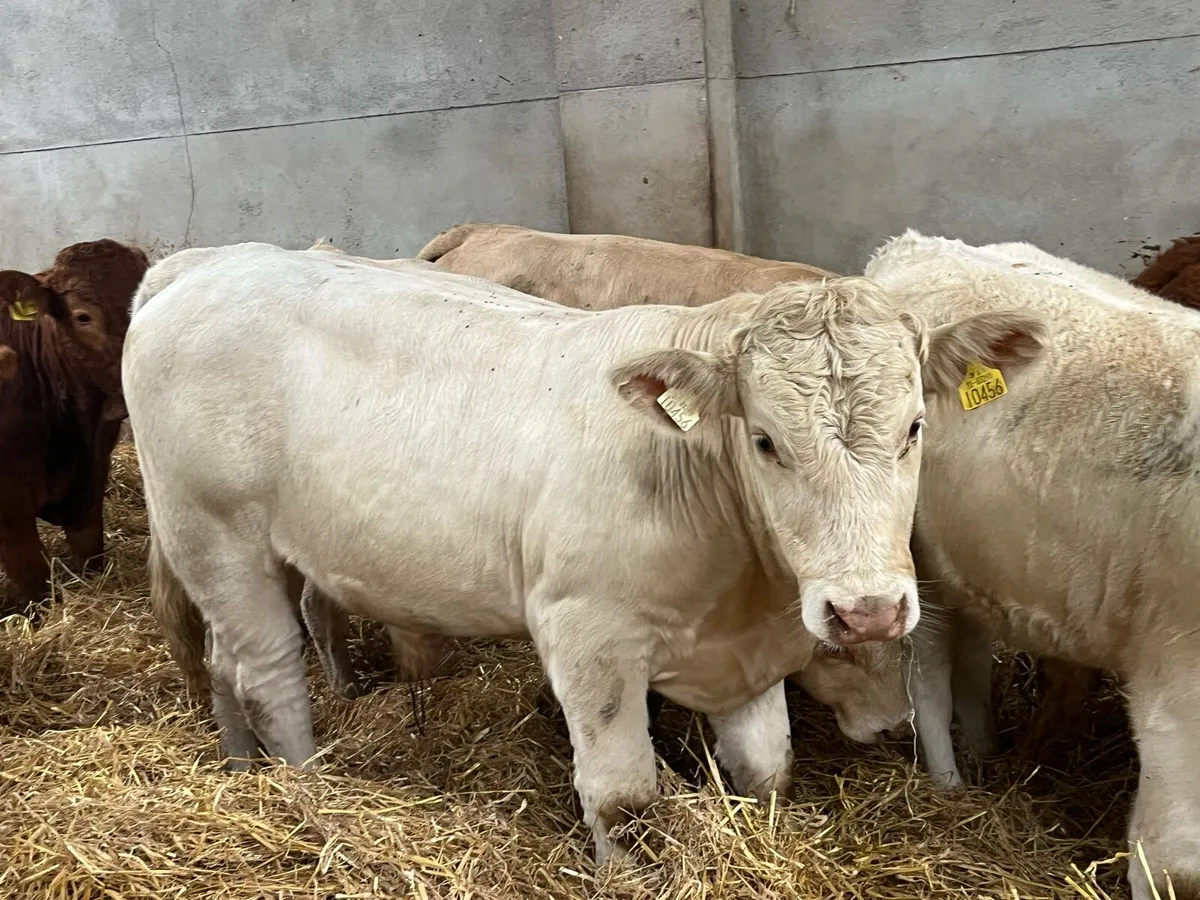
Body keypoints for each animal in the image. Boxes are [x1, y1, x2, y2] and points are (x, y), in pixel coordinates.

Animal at [124, 241, 1040, 862]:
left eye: (914, 427)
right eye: (766, 441)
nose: (867, 610)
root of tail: (207, 263)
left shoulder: (745, 656)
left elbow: (767, 769)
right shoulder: (587, 636)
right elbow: (624, 797)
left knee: (222, 662)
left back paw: (240, 771)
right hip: (219, 534)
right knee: (269, 671)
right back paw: (308, 792)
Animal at [864, 230, 1200, 900]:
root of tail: (914, 243)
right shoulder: (1177, 678)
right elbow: (1171, 862)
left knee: (970, 657)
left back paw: (991, 753)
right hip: (915, 560)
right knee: (928, 673)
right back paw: (949, 787)